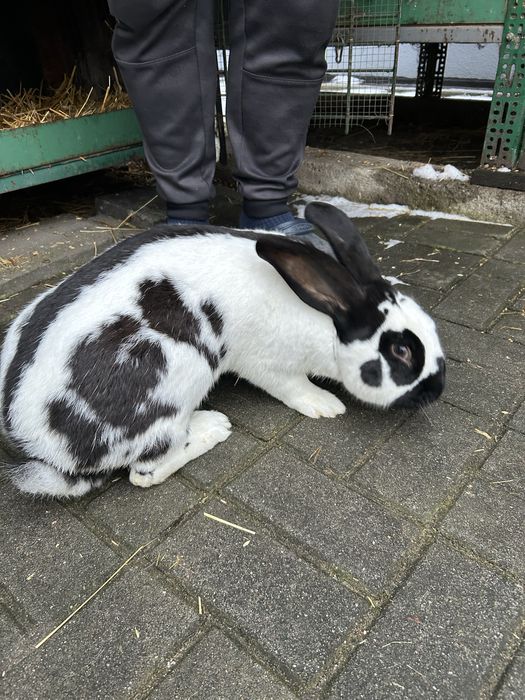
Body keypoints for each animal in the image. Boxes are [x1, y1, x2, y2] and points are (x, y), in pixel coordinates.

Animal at [0, 202, 445, 498]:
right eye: (402, 352)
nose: (436, 390)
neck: (327, 319)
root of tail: (38, 446)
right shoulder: (267, 363)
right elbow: (293, 387)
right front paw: (325, 405)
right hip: (178, 377)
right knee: (144, 471)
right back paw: (214, 427)